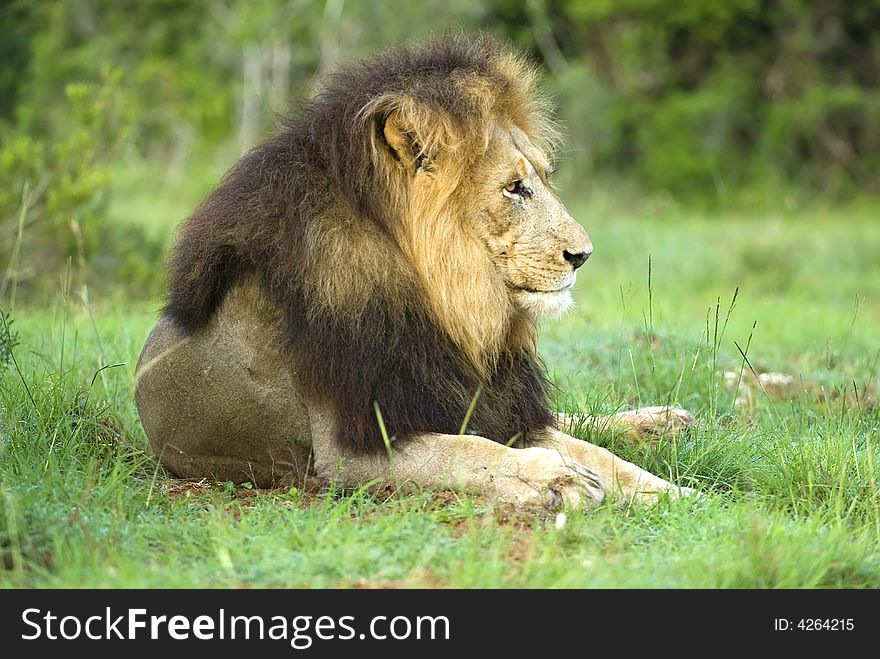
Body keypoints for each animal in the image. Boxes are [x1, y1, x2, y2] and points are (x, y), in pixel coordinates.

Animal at [136, 36, 696, 510]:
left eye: (544, 178)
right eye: (514, 187)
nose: (582, 255)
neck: (448, 303)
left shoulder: (470, 397)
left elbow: (594, 453)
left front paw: (670, 493)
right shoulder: (349, 448)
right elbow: (470, 451)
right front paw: (556, 477)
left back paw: (660, 423)